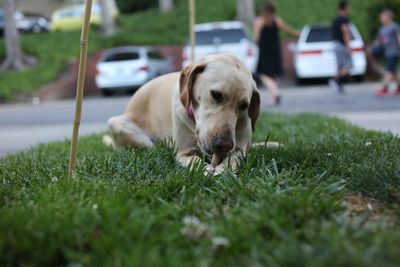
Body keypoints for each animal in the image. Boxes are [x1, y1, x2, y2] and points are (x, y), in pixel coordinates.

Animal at [103, 54, 260, 176]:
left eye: (244, 106)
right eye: (216, 94)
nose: (224, 145)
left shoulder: (240, 149)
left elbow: (233, 158)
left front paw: (222, 169)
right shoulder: (183, 153)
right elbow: (195, 161)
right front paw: (206, 169)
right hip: (117, 123)